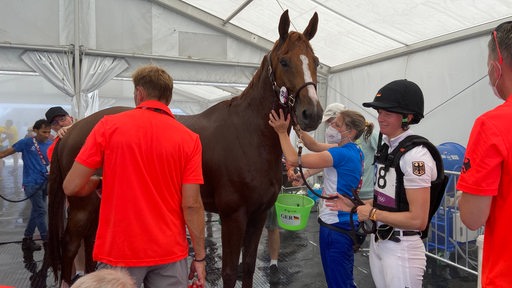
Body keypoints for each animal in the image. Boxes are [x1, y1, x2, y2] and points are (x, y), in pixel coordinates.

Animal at [46, 10, 322, 286]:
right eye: (284, 61)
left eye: (316, 62)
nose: (312, 114)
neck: (249, 136)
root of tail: (70, 132)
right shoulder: (233, 216)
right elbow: (229, 272)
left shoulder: (258, 215)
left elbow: (249, 267)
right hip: (82, 207)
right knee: (70, 246)